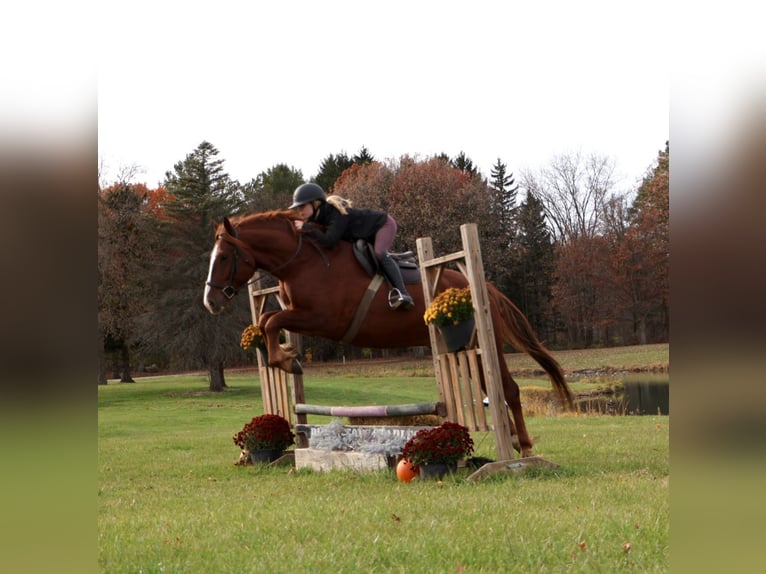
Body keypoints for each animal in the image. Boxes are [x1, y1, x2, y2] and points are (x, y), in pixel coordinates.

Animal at [203, 210, 574, 456]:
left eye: (222, 257)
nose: (210, 302)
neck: (303, 261)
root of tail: (483, 286)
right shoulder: (301, 314)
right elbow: (268, 322)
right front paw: (286, 358)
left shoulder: (323, 318)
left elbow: (271, 322)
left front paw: (286, 359)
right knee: (491, 388)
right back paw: (510, 440)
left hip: (486, 340)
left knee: (508, 389)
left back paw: (524, 448)